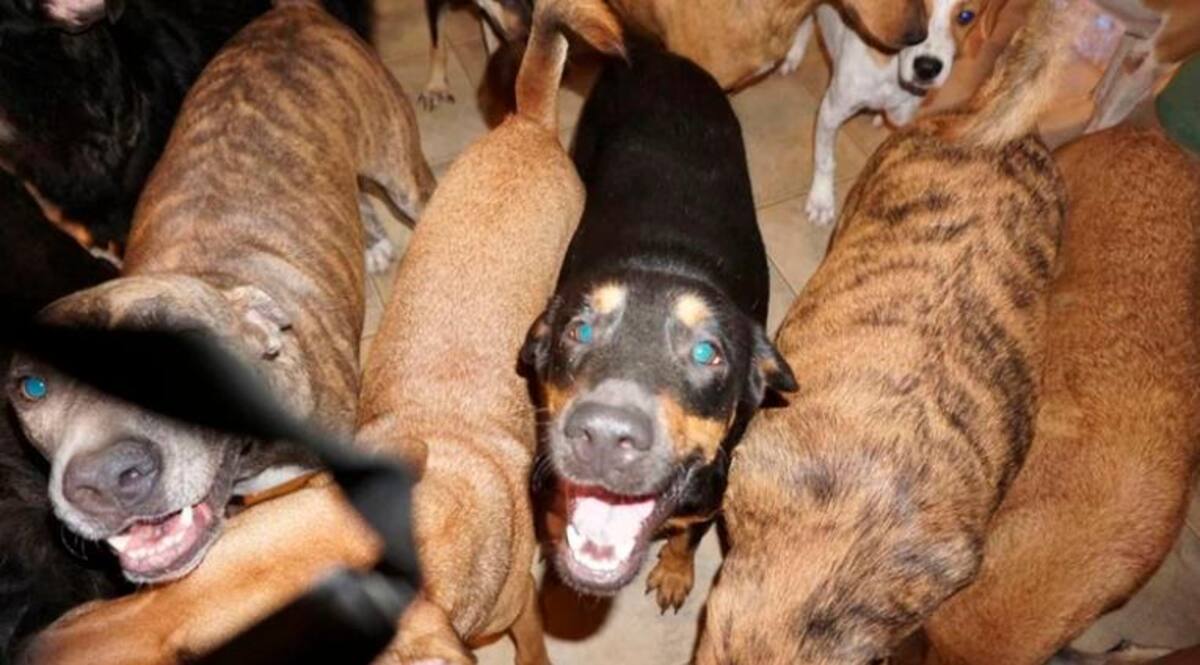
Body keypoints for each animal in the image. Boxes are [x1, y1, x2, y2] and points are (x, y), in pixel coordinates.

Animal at [520, 45, 796, 610]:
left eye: (708, 352)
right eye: (578, 331)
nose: (604, 436)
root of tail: (658, 52)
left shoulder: (710, 495)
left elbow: (688, 537)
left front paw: (673, 570)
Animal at [796, 0, 991, 226]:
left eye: (966, 16)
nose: (927, 68)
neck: (890, 68)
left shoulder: (902, 116)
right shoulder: (830, 112)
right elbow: (825, 160)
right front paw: (821, 200)